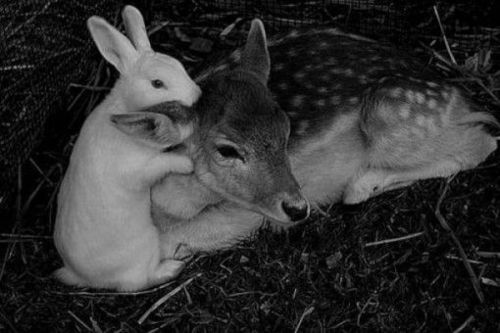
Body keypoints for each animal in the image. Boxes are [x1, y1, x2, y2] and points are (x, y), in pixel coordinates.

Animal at [54, 5, 201, 290]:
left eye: (179, 65)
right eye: (157, 83)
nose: (197, 93)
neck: (122, 109)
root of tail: (81, 276)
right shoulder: (138, 170)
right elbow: (163, 163)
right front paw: (187, 163)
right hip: (146, 246)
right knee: (142, 279)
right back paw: (173, 267)